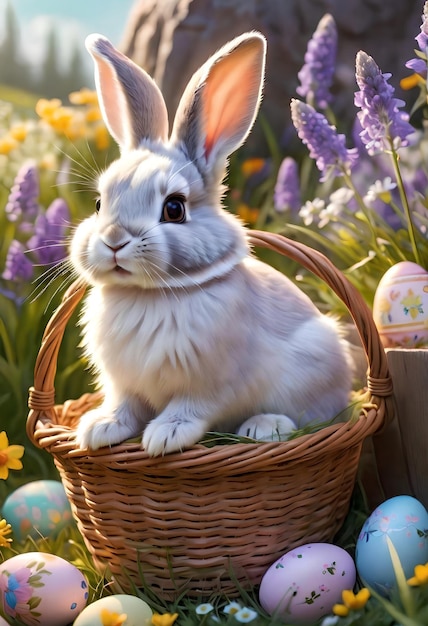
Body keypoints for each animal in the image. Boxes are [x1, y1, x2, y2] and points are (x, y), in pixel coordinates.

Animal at [72, 31, 352, 454]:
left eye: (174, 208)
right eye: (100, 203)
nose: (115, 240)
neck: (148, 295)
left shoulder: (211, 383)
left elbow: (191, 407)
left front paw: (164, 436)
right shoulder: (124, 385)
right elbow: (125, 406)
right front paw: (100, 428)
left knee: (313, 419)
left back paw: (264, 427)